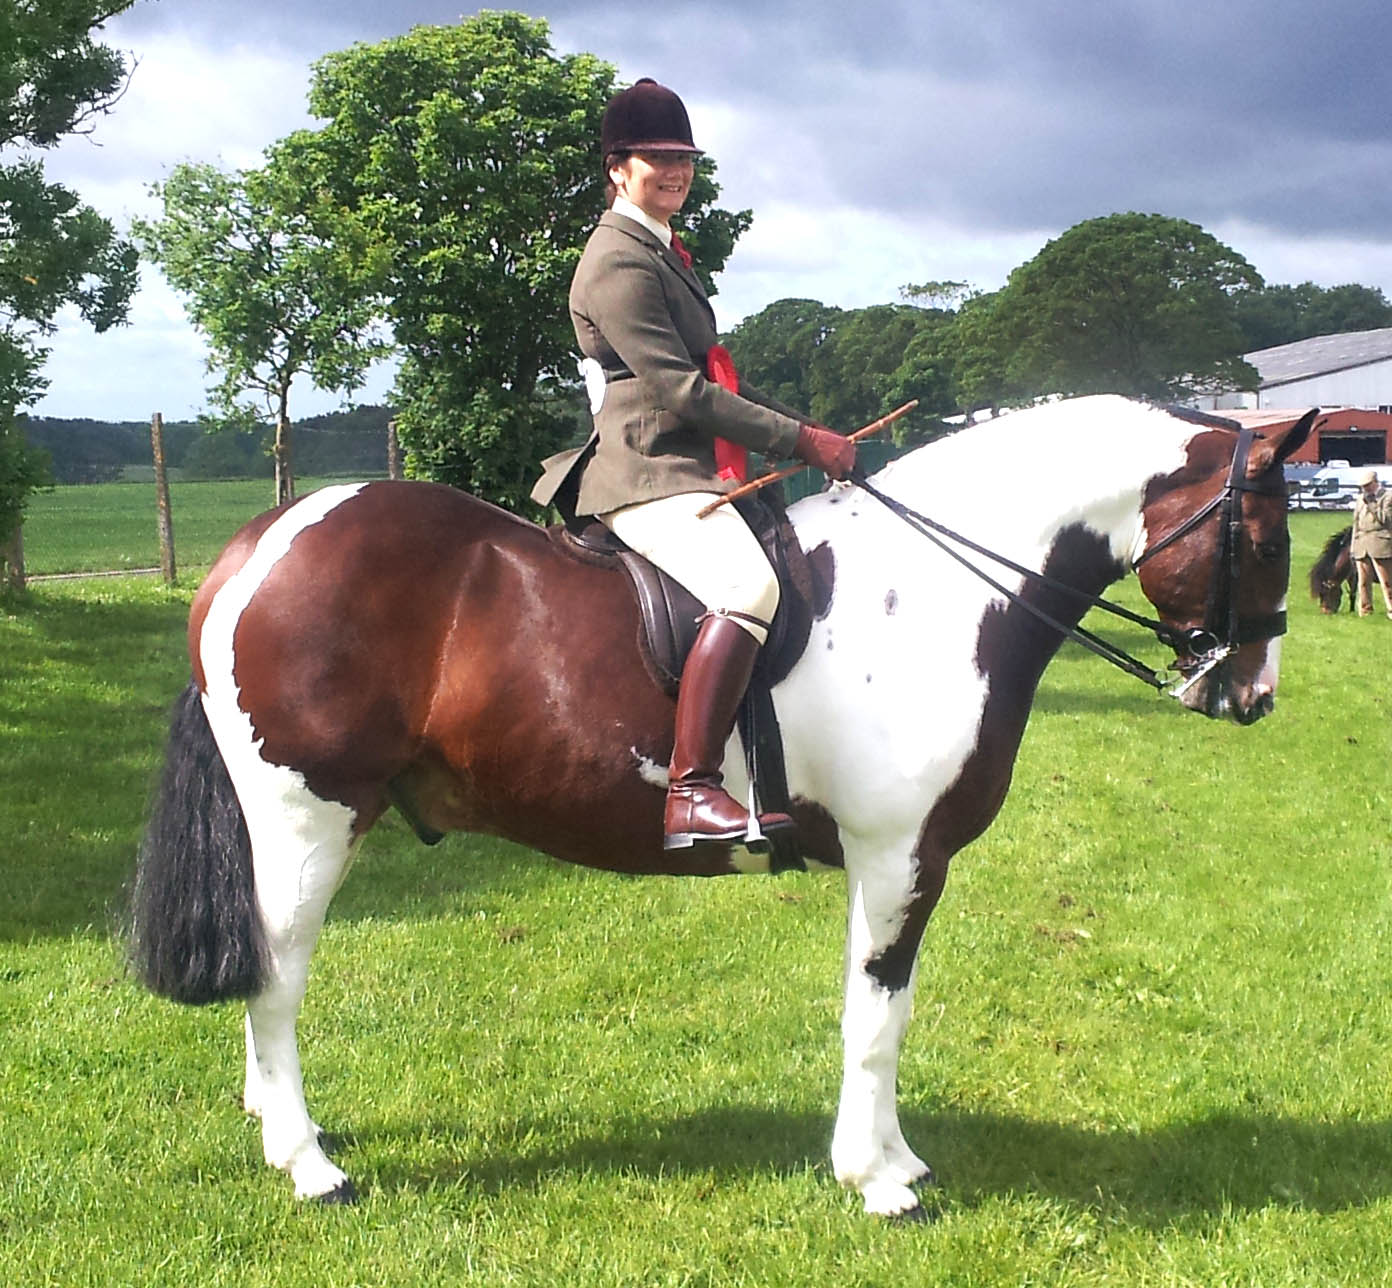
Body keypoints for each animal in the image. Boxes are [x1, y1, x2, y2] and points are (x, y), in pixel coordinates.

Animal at [130, 392, 1314, 1214]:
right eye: (1262, 542)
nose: (1252, 696)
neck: (935, 592)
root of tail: (255, 550)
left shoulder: (903, 863)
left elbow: (890, 1012)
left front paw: (894, 1156)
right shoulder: (899, 858)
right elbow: (875, 1016)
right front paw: (876, 1181)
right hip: (308, 820)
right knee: (278, 979)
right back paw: (308, 1163)